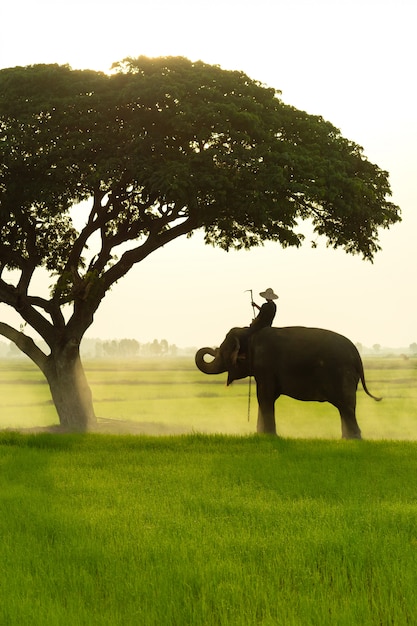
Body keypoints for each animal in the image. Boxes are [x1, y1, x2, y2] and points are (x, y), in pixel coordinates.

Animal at [195, 324, 380, 436]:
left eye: (222, 351)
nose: (212, 349)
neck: (249, 332)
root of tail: (357, 355)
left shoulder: (265, 365)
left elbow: (264, 397)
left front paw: (270, 436)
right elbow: (266, 397)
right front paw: (260, 436)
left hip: (341, 373)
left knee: (346, 406)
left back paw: (354, 440)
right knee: (346, 407)